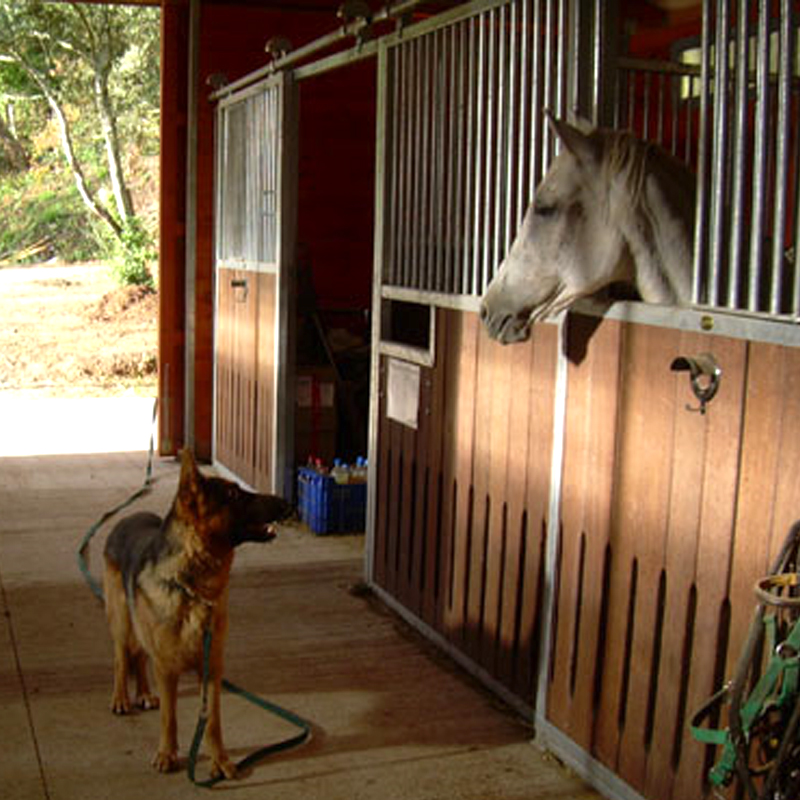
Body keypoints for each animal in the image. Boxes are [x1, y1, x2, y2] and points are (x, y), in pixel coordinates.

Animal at [102, 450, 290, 776]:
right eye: (232, 494)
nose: (288, 503)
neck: (192, 588)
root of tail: (127, 517)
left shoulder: (211, 668)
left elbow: (212, 721)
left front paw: (220, 760)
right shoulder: (166, 669)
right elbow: (170, 717)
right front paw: (167, 753)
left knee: (139, 656)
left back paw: (144, 693)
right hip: (123, 623)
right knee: (122, 658)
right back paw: (122, 697)